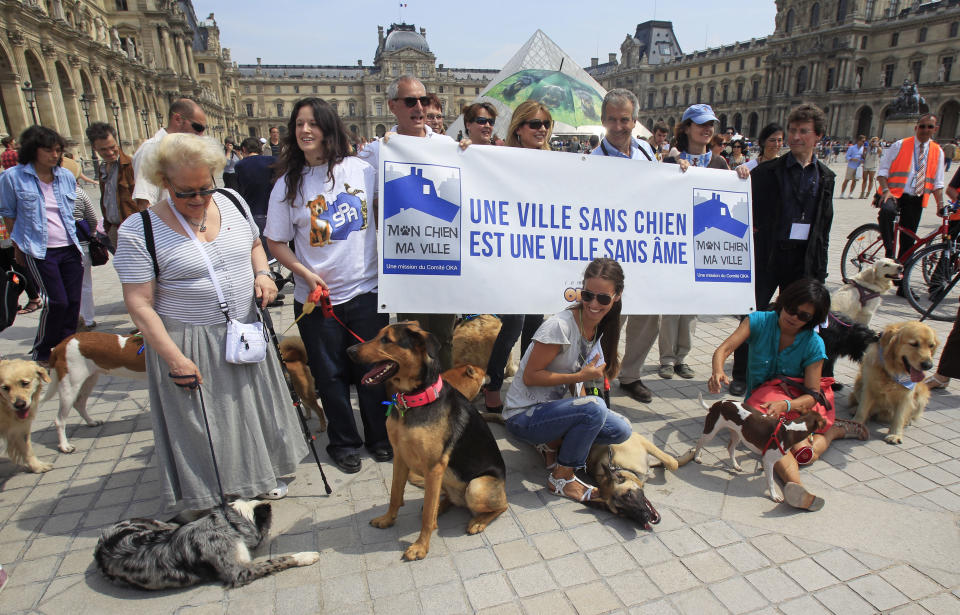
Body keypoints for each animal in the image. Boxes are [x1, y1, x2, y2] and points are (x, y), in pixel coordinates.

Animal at [346, 322, 510, 564]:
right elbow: (395, 495)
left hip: (476, 486)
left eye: (386, 340)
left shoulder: (433, 467)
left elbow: (425, 518)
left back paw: (478, 521)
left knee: (502, 506)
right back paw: (441, 506)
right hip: (445, 480)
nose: (349, 351)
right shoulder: (400, 457)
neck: (412, 401)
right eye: (377, 335)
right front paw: (387, 519)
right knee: (444, 500)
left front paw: (420, 547)